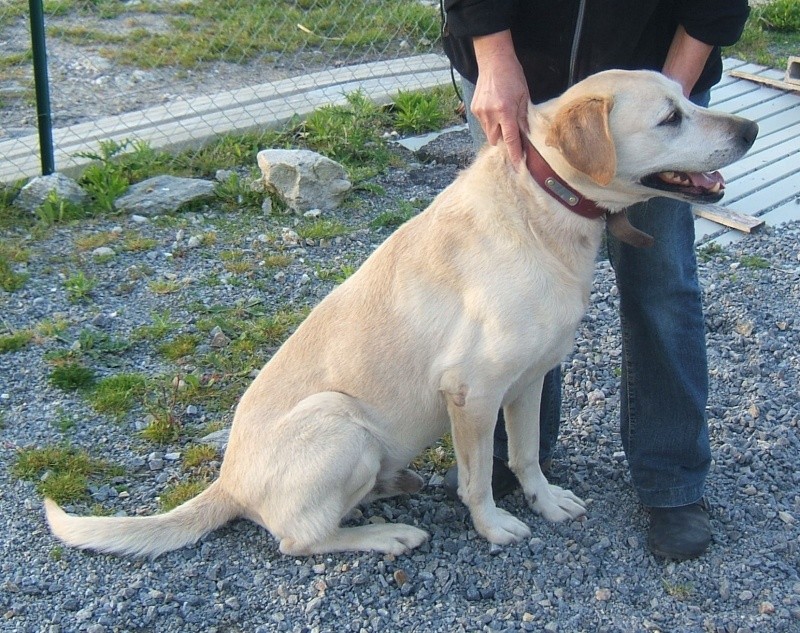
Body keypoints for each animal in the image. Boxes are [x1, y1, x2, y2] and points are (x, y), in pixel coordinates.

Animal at [43, 70, 756, 556]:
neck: (544, 204)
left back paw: (395, 489)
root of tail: (228, 482)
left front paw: (547, 502)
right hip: (341, 421)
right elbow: (478, 480)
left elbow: (526, 457)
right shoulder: (472, 391)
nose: (749, 129)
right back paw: (385, 534)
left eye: (690, 97)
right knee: (298, 538)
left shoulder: (527, 382)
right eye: (670, 118)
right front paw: (494, 527)